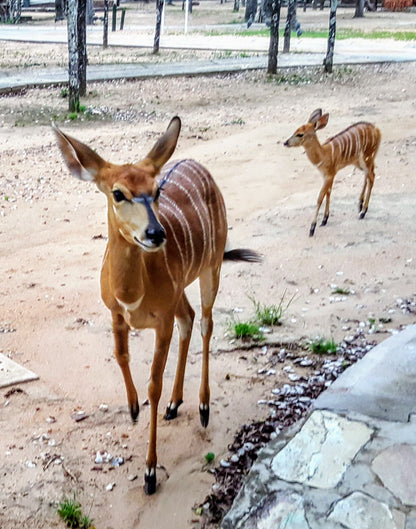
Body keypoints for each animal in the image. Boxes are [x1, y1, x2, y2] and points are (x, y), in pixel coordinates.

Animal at [52, 117, 260, 492]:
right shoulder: (116, 313)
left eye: (156, 191)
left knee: (205, 322)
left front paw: (150, 472)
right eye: (118, 193)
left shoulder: (161, 319)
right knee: (189, 318)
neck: (132, 293)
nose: (155, 234)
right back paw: (176, 405)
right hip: (181, 291)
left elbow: (154, 383)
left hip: (211, 267)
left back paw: (203, 407)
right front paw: (134, 408)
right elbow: (121, 356)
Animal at [284, 107, 382, 235]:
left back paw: (363, 212)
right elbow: (329, 193)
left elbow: (320, 197)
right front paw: (324, 220)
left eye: (300, 134)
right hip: (361, 161)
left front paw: (312, 228)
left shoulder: (330, 175)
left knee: (372, 176)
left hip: (367, 157)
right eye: (295, 130)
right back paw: (360, 205)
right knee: (369, 174)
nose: (285, 142)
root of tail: (377, 130)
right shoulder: (327, 175)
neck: (323, 154)